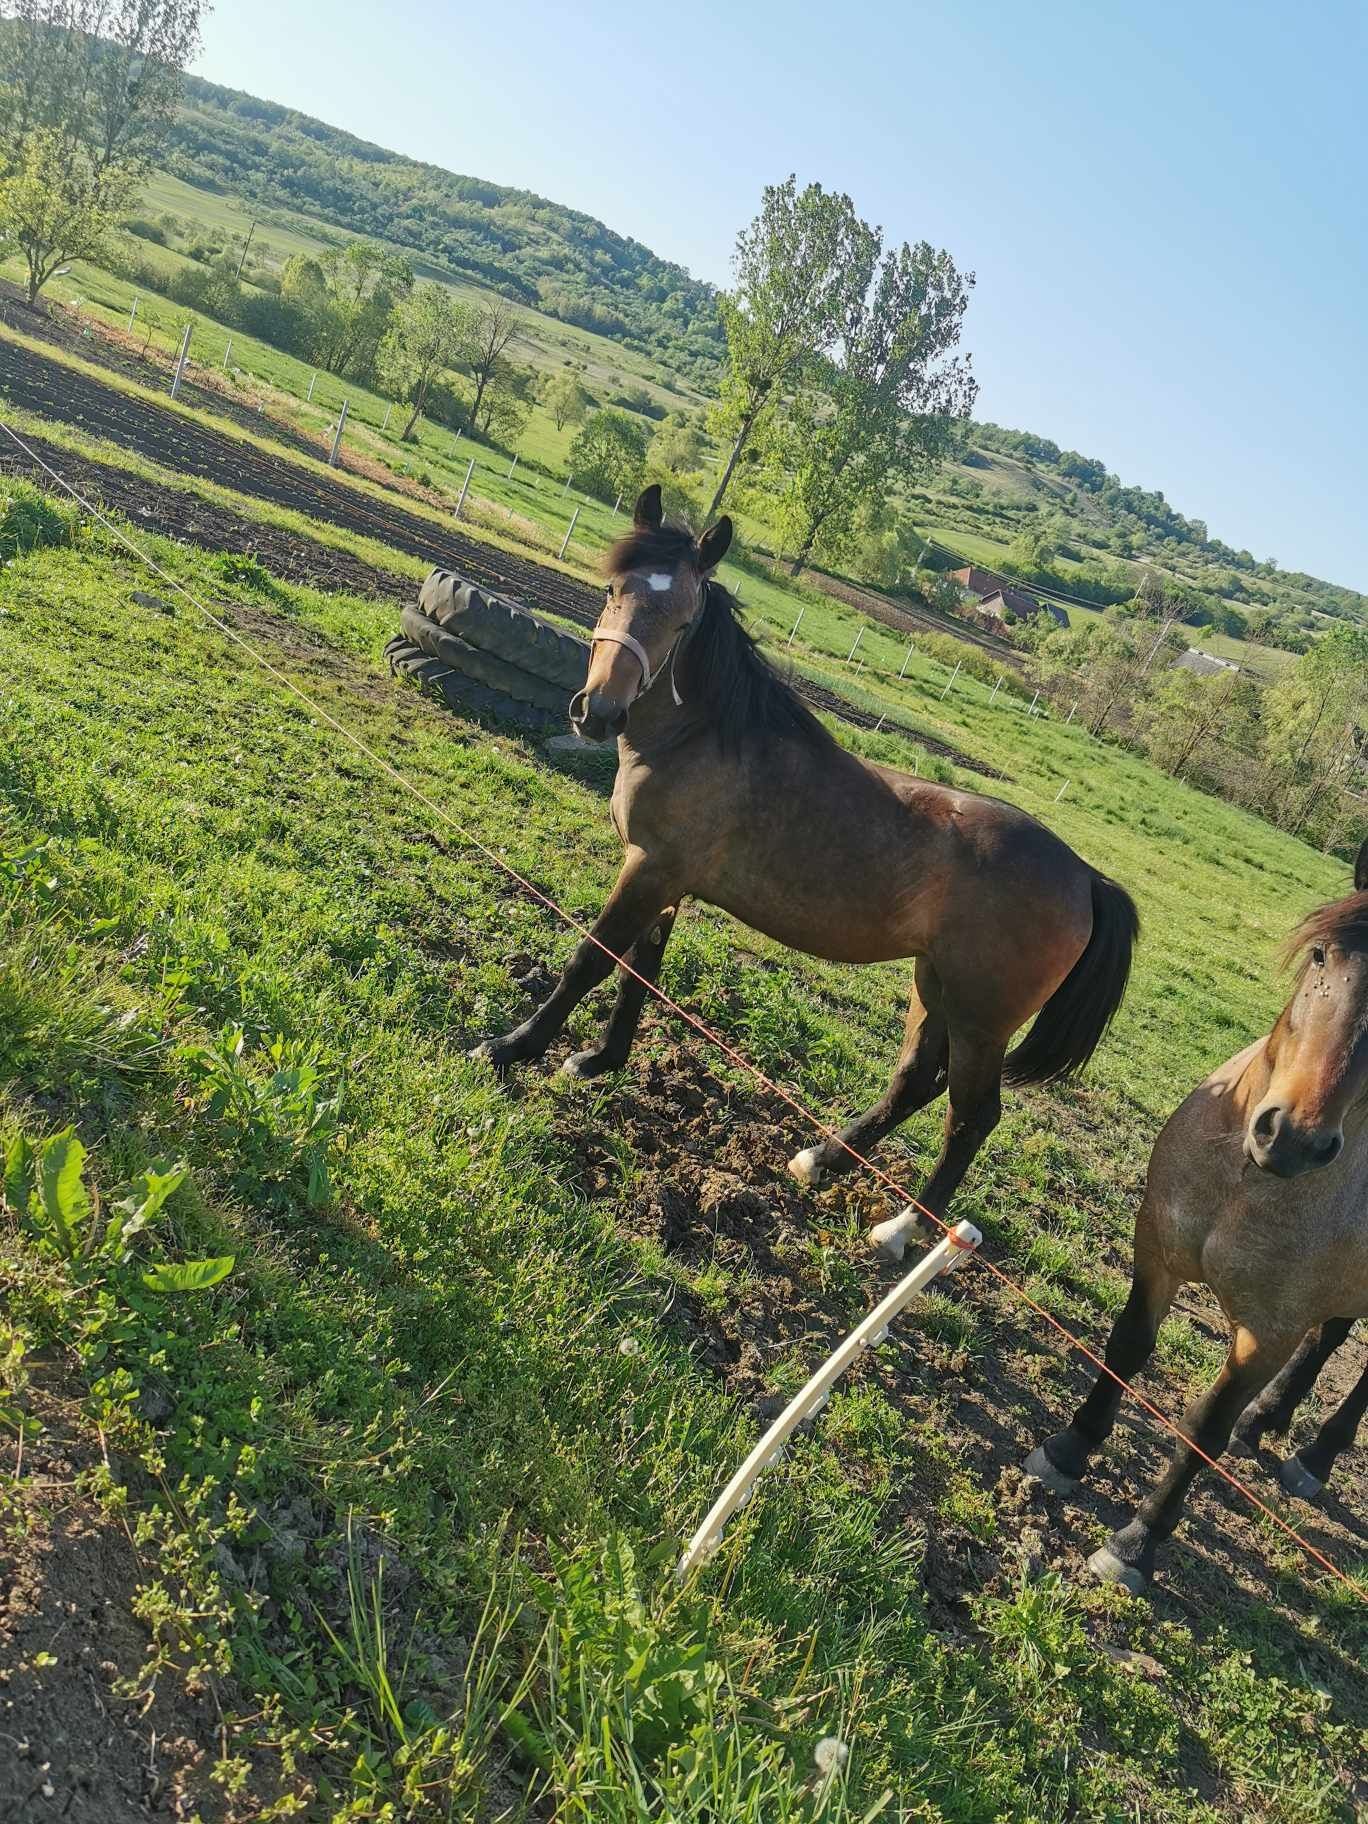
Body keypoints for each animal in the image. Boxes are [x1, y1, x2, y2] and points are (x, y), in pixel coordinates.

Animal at [477, 492, 1138, 1247]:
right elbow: (639, 970)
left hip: (981, 1018)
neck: (699, 738)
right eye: (616, 589)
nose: (598, 712)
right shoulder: (666, 880)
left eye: (682, 618)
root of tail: (1085, 876)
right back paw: (819, 1161)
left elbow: (591, 960)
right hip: (934, 984)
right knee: (915, 1081)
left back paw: (901, 1232)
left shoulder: (648, 871)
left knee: (973, 1117)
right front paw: (599, 1060)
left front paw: (513, 1047)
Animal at [1028, 846, 1368, 1590]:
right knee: (1332, 1336)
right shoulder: (1157, 1250)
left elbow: (1204, 1427)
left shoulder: (1266, 1334)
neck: (1245, 1182)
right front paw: (1070, 1447)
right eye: (1322, 956)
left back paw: (1316, 1457)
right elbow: (1127, 1347)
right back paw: (1270, 1422)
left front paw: (1136, 1544)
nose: (1293, 1138)